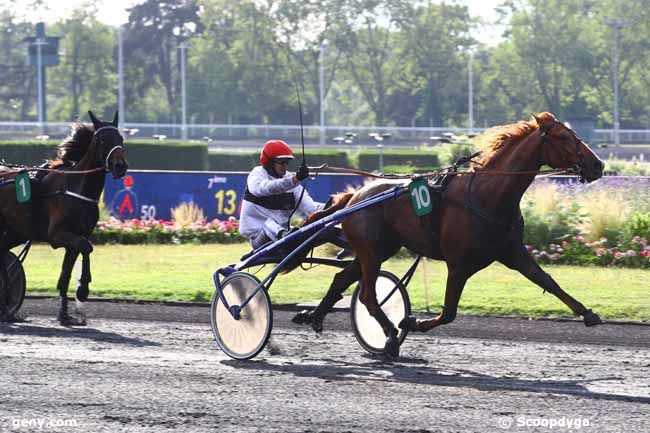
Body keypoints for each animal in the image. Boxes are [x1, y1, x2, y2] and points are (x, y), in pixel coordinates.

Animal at [0, 111, 126, 324]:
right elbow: (87, 246)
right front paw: (83, 289)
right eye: (101, 139)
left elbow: (66, 273)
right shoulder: (57, 235)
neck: (76, 188)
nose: (120, 166)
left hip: (13, 232)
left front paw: (65, 315)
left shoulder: (75, 238)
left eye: (121, 138)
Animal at [292, 113, 604, 356]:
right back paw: (390, 336)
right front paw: (411, 323)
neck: (488, 196)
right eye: (563, 137)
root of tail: (355, 195)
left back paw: (315, 317)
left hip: (377, 250)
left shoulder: (513, 252)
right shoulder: (458, 264)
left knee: (342, 278)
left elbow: (548, 281)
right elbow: (449, 312)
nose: (598, 165)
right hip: (372, 252)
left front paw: (588, 313)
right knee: (368, 295)